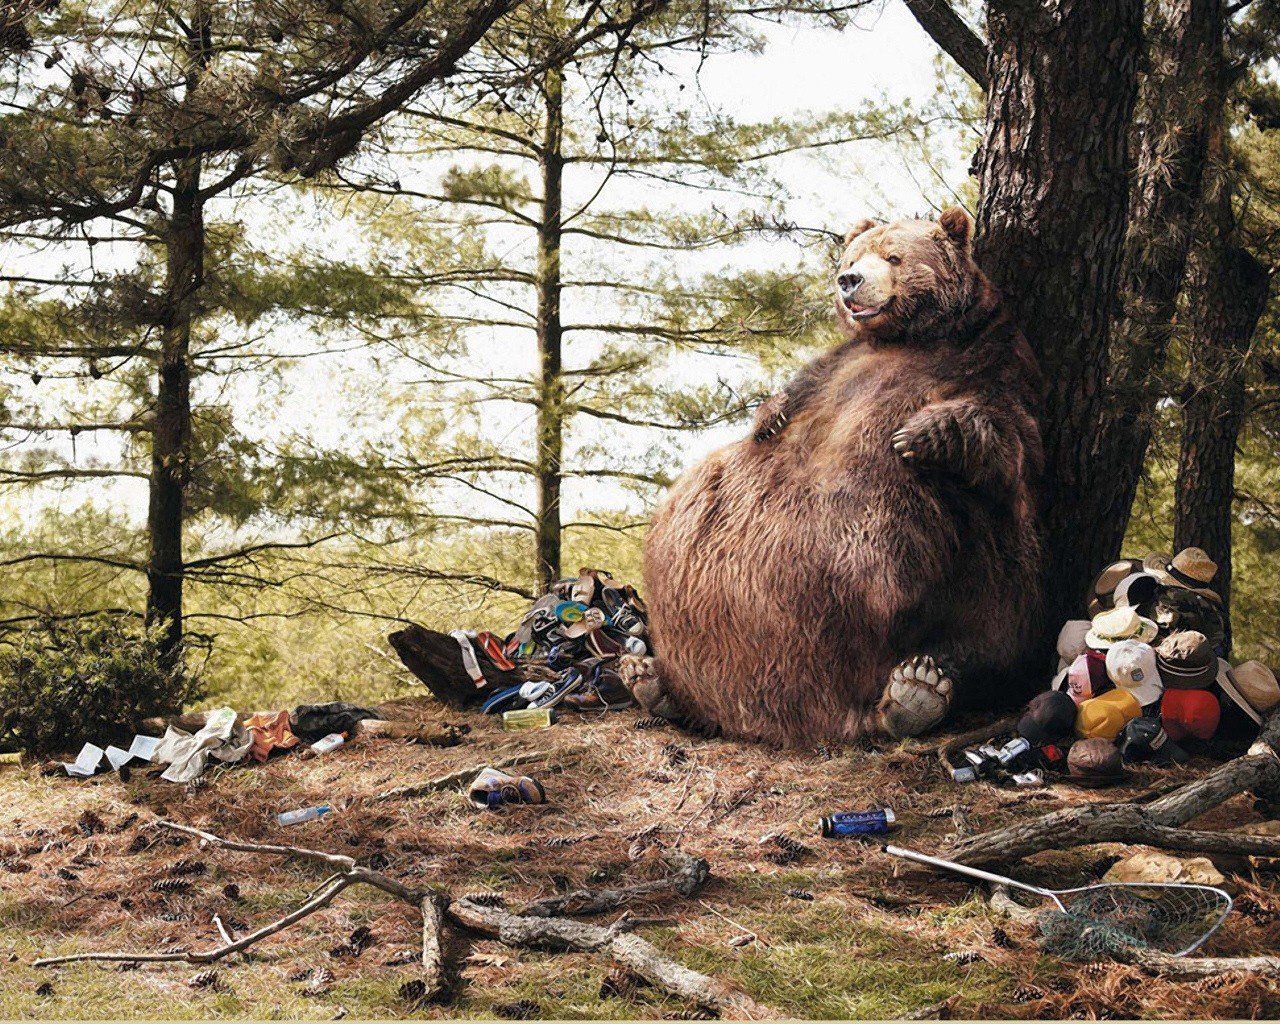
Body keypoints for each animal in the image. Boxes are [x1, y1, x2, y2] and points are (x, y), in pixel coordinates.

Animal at [620, 207, 1045, 747]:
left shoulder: (997, 358)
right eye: (852, 257)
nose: (849, 281)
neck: (909, 336)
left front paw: (920, 433)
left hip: (964, 561)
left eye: (893, 256)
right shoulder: (839, 363)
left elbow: (1008, 437)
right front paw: (768, 417)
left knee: (991, 620)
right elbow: (801, 388)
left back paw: (916, 690)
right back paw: (652, 679)